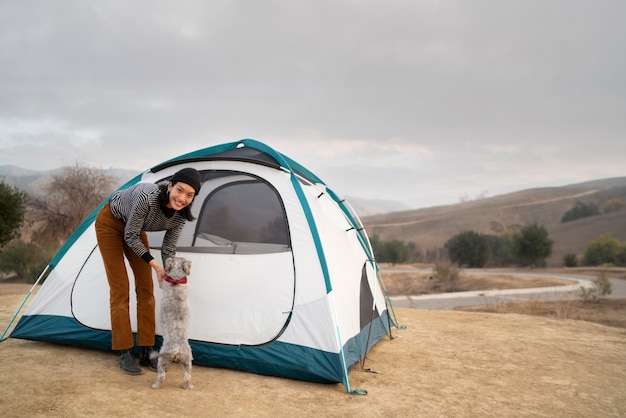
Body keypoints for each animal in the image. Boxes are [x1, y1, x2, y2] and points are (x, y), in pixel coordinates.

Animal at [149, 256, 193, 390]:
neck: (177, 280)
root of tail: (176, 349)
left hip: (161, 361)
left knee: (162, 376)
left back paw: (155, 385)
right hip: (187, 362)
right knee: (187, 376)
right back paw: (188, 386)